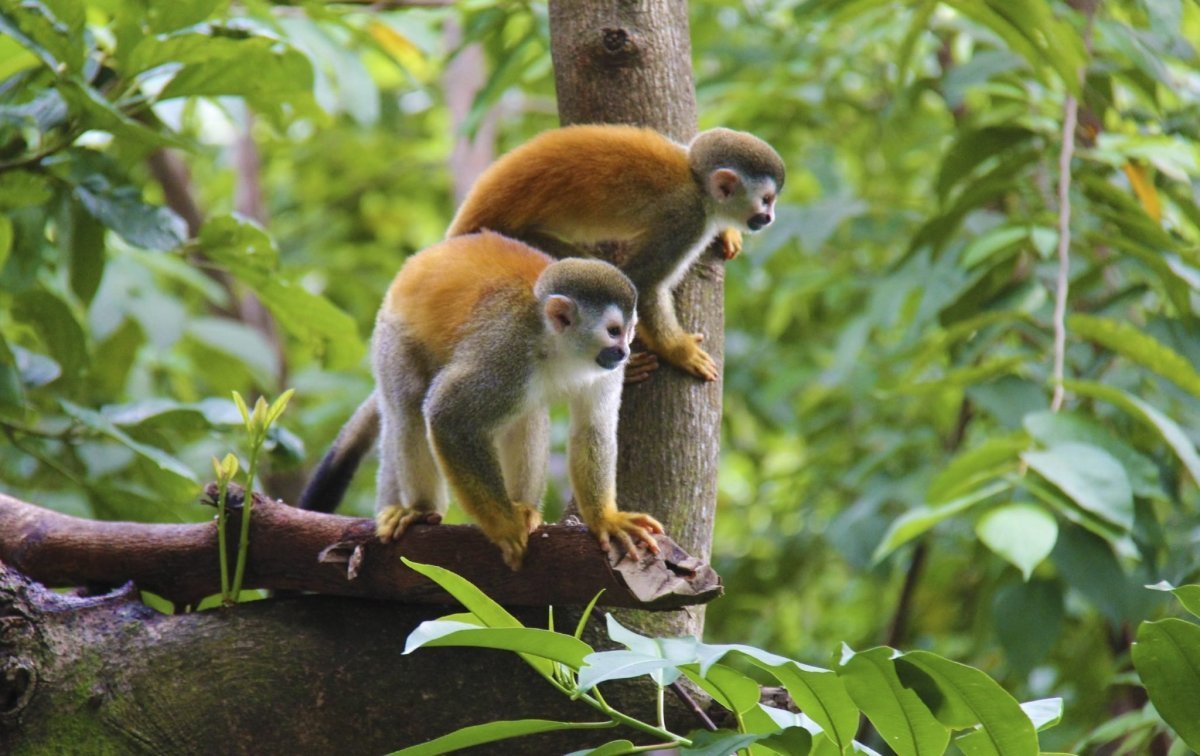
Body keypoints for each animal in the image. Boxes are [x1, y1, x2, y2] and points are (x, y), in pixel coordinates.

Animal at [297, 230, 664, 569]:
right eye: (613, 331)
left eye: (629, 331)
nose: (624, 352)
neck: (557, 346)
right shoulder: (507, 351)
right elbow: (447, 417)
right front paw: (505, 528)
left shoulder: (603, 371)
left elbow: (592, 429)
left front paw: (605, 519)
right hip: (393, 335)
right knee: (408, 406)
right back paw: (421, 510)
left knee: (527, 414)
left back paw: (524, 507)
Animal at [446, 125, 785, 383]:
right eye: (766, 200)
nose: (770, 218)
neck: (697, 184)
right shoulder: (686, 219)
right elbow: (644, 281)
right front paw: (680, 352)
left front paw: (727, 233)